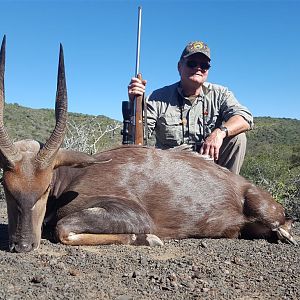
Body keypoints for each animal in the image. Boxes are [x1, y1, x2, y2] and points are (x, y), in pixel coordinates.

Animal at [0, 37, 296, 253]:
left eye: (45, 188)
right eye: (7, 188)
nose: (22, 245)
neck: (71, 178)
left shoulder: (135, 214)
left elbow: (62, 228)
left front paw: (148, 239)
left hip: (262, 208)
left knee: (284, 224)